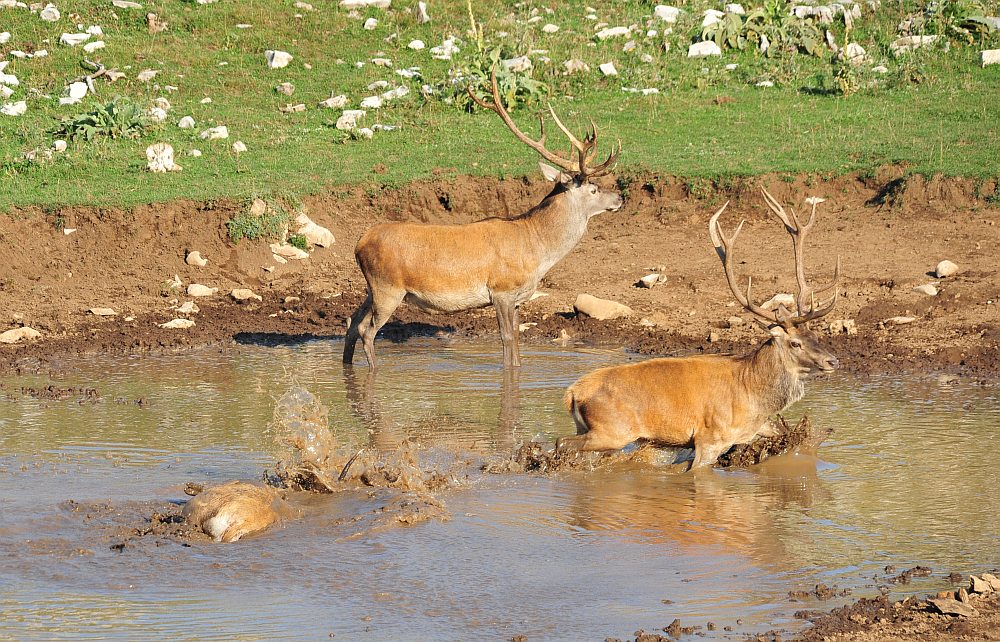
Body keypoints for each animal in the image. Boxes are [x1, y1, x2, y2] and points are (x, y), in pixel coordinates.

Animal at [346, 69, 624, 370]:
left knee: (352, 323)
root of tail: (359, 243)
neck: (537, 251)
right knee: (366, 330)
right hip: (388, 288)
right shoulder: (501, 290)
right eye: (593, 189)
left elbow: (517, 339)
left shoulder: (518, 298)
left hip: (372, 289)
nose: (620, 197)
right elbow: (506, 339)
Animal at [560, 188, 840, 468]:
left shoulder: (757, 428)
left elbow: (781, 431)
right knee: (561, 442)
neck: (752, 393)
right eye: (795, 343)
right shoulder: (711, 438)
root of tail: (572, 393)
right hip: (613, 430)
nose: (833, 360)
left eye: (814, 335)